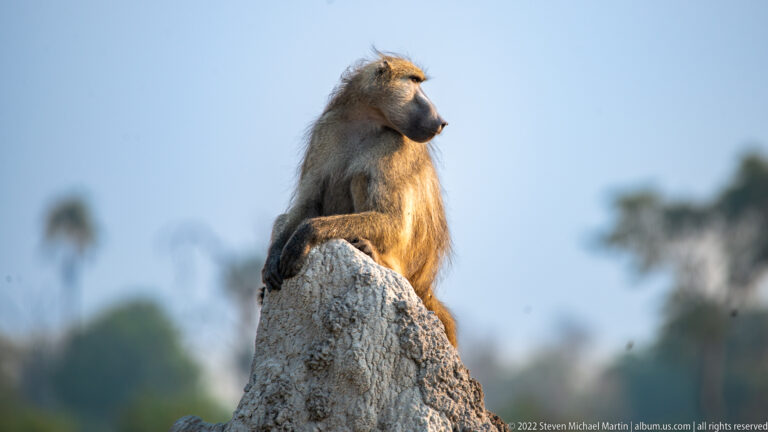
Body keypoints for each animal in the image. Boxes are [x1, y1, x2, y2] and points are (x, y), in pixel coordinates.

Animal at [261, 53, 456, 346]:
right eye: (414, 81)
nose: (441, 121)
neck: (365, 121)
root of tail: (423, 286)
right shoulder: (325, 130)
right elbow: (305, 205)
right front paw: (273, 257)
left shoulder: (395, 144)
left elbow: (395, 223)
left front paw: (304, 236)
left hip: (407, 270)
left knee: (360, 178)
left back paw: (372, 253)